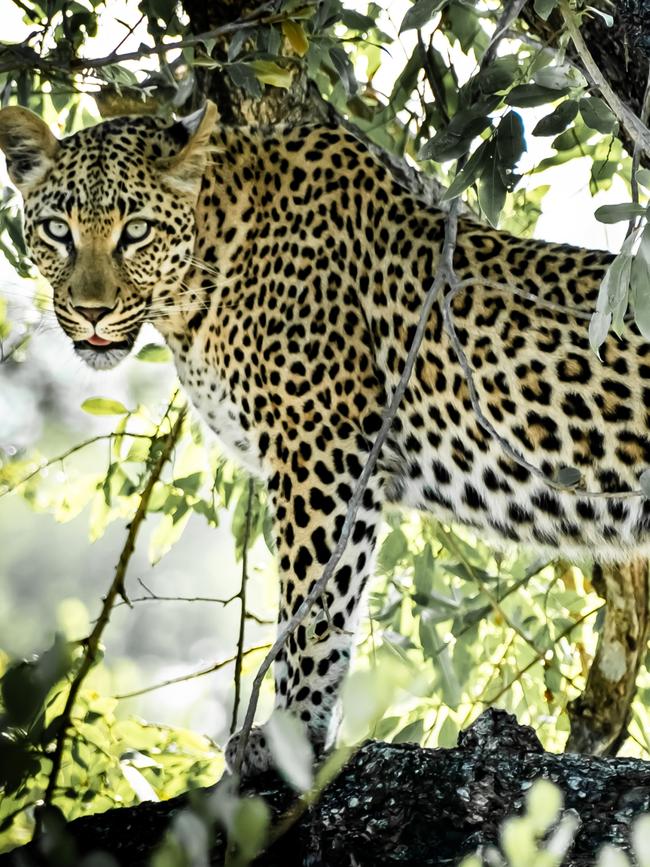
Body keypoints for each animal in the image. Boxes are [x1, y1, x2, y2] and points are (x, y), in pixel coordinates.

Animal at [1, 98, 648, 776]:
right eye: (57, 231)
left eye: (136, 231)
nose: (91, 312)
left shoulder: (321, 445)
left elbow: (314, 603)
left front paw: (291, 729)